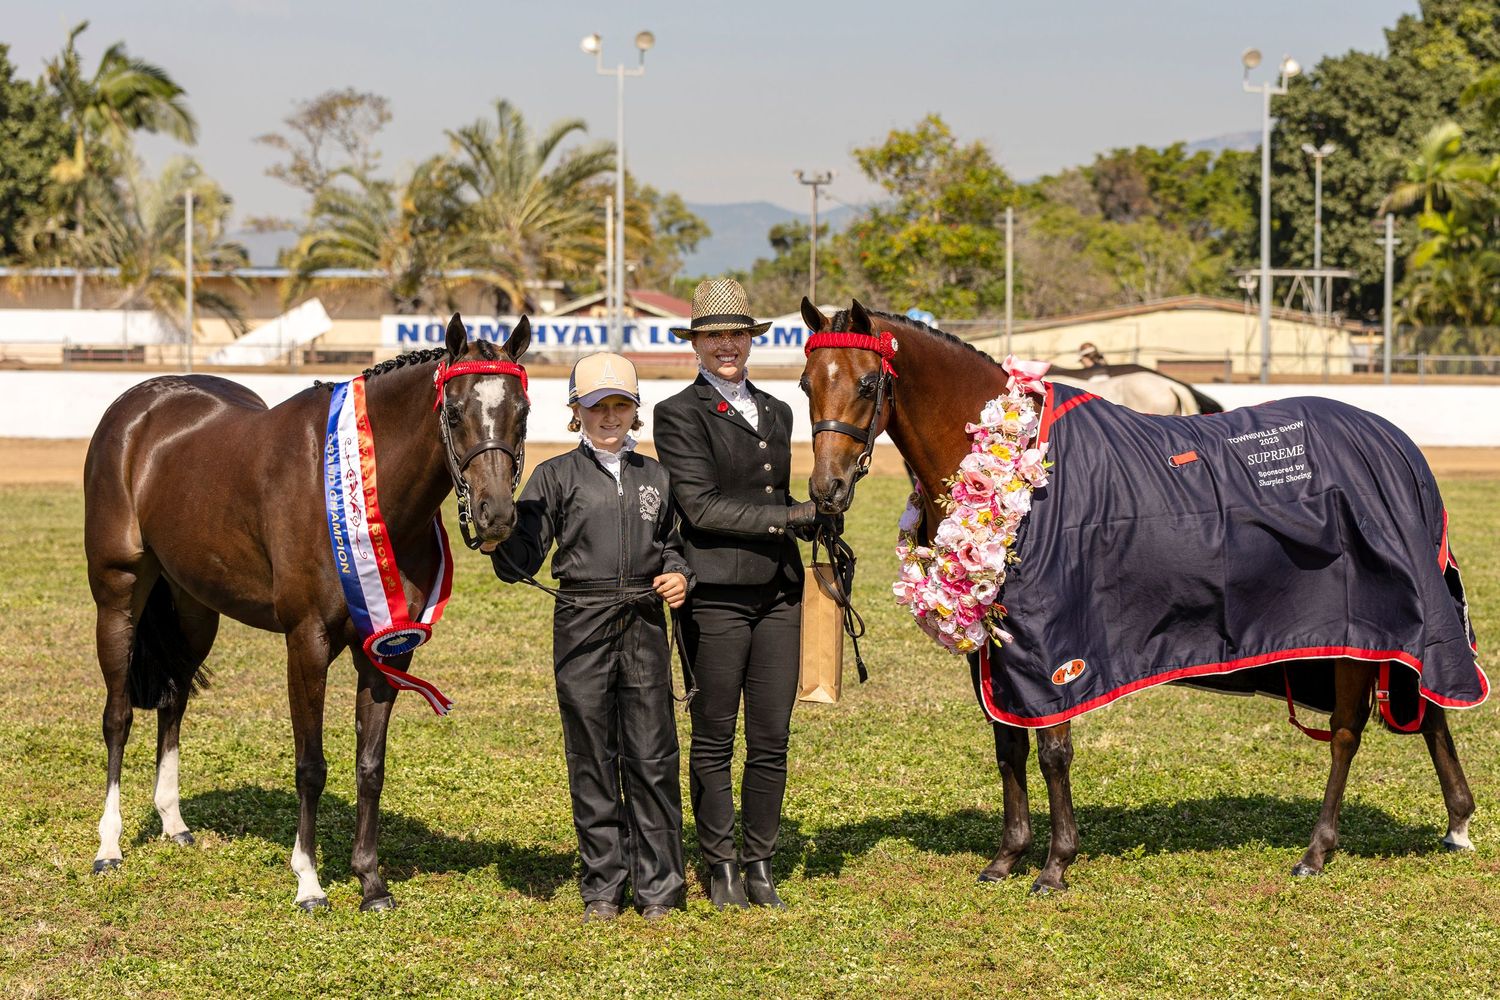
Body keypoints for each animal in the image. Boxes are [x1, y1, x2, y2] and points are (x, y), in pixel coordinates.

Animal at [83, 313, 531, 911]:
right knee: (118, 716)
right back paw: (109, 847)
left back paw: (173, 823)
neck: (358, 488)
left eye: (522, 412)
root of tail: (136, 407)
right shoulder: (307, 642)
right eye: (454, 411)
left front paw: (370, 882)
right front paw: (309, 882)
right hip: (117, 596)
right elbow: (311, 766)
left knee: (173, 701)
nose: (495, 515)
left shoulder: (389, 651)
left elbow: (370, 765)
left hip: (194, 609)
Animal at [798, 298, 1483, 894]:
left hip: (1357, 625)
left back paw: (1318, 850)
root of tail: (1396, 445)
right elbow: (1008, 744)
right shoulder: (995, 646)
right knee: (1420, 711)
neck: (1017, 465)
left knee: (1346, 731)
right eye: (805, 384)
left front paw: (1056, 865)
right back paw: (1456, 821)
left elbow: (1053, 749)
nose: (827, 491)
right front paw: (1007, 856)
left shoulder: (1055, 643)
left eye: (867, 384)